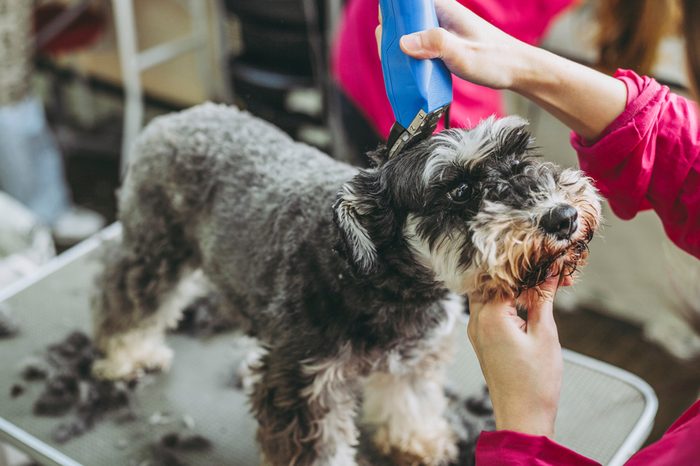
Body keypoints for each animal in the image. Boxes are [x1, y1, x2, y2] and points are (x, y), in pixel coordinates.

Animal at [89, 104, 600, 466]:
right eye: (459, 190)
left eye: (519, 158)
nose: (563, 216)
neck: (387, 285)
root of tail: (176, 118)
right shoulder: (304, 387)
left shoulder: (413, 357)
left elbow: (410, 401)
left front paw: (417, 440)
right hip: (155, 250)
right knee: (124, 292)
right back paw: (127, 354)